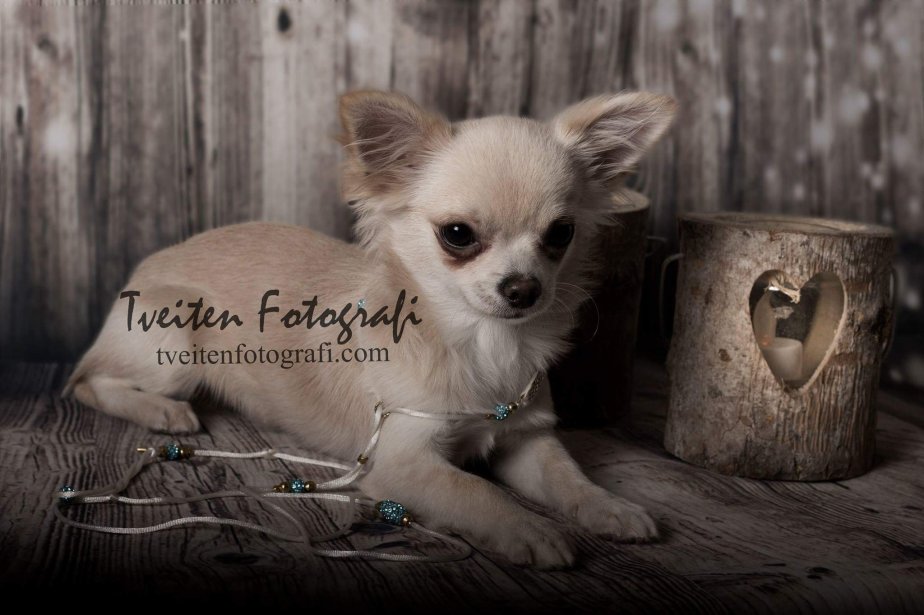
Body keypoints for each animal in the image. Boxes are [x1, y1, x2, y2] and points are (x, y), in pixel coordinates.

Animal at [65, 90, 676, 568]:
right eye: (458, 234)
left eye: (560, 234)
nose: (523, 289)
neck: (480, 343)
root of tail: (147, 265)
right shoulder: (403, 463)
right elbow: (475, 489)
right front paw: (528, 529)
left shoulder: (526, 438)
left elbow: (566, 475)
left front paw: (609, 507)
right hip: (176, 344)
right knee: (85, 381)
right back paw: (159, 411)